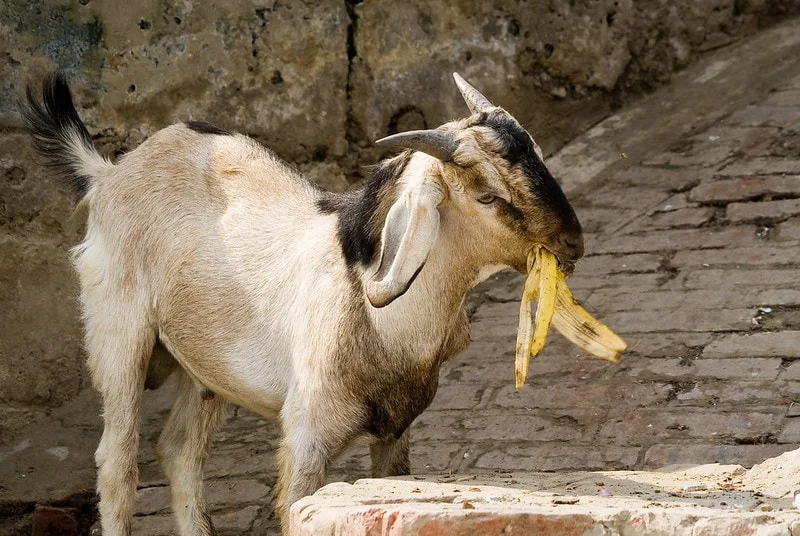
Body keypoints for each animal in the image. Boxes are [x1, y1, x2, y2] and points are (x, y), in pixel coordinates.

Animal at [22, 71, 583, 535]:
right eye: (487, 195)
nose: (572, 244)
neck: (371, 308)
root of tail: (108, 173)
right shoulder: (306, 437)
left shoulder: (396, 432)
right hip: (119, 334)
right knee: (118, 464)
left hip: (207, 368)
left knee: (179, 451)